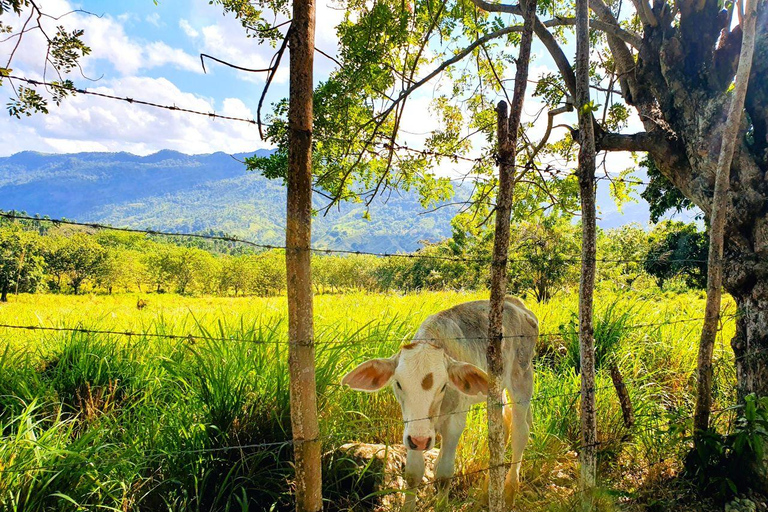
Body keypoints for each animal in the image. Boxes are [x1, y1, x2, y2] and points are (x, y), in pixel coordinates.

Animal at [344, 296, 536, 508]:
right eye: (398, 384)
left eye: (444, 386)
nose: (420, 440)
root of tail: (517, 305)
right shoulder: (411, 428)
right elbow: (413, 473)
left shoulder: (455, 422)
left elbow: (444, 473)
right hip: (496, 389)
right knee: (502, 429)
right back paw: (489, 486)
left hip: (522, 378)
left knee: (520, 431)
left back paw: (510, 489)